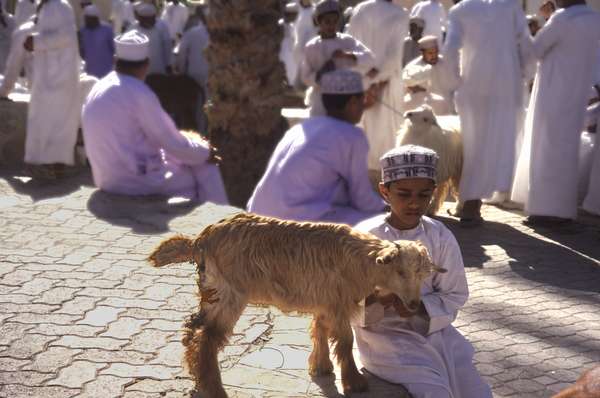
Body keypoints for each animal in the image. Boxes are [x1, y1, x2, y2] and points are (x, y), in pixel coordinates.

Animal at [148, 215, 442, 398]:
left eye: (422, 274)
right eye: (401, 272)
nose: (414, 304)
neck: (358, 261)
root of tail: (201, 240)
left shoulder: (325, 301)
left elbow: (320, 330)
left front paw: (321, 367)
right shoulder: (337, 302)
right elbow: (345, 341)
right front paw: (354, 382)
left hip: (212, 292)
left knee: (193, 329)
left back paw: (197, 376)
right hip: (229, 293)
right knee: (207, 336)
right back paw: (215, 388)